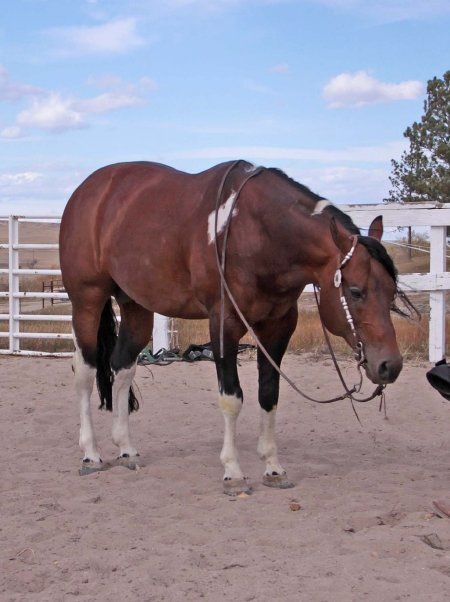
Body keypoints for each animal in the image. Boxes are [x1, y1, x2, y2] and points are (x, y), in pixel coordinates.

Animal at [59, 159, 400, 492]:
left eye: (392, 290)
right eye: (355, 291)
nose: (390, 365)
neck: (256, 232)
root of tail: (88, 191)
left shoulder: (278, 327)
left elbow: (269, 394)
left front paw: (273, 468)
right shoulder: (224, 326)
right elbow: (232, 398)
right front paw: (233, 472)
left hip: (136, 307)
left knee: (122, 367)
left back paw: (126, 449)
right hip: (87, 300)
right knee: (85, 371)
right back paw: (91, 454)